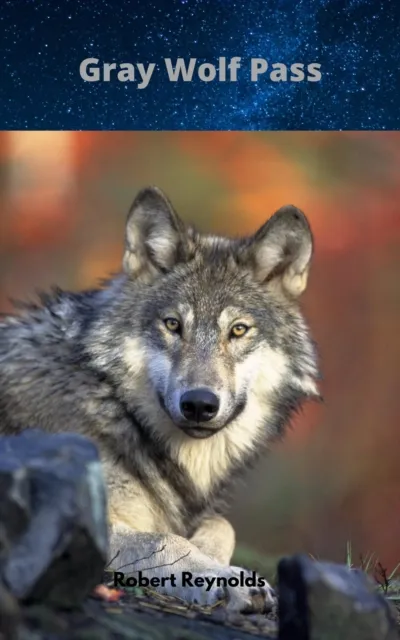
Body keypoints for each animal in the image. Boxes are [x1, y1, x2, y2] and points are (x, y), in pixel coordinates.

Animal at [0, 186, 320, 612]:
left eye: (238, 330)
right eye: (173, 325)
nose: (199, 404)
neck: (114, 405)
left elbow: (222, 525)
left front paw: (213, 561)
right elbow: (166, 540)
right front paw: (222, 578)